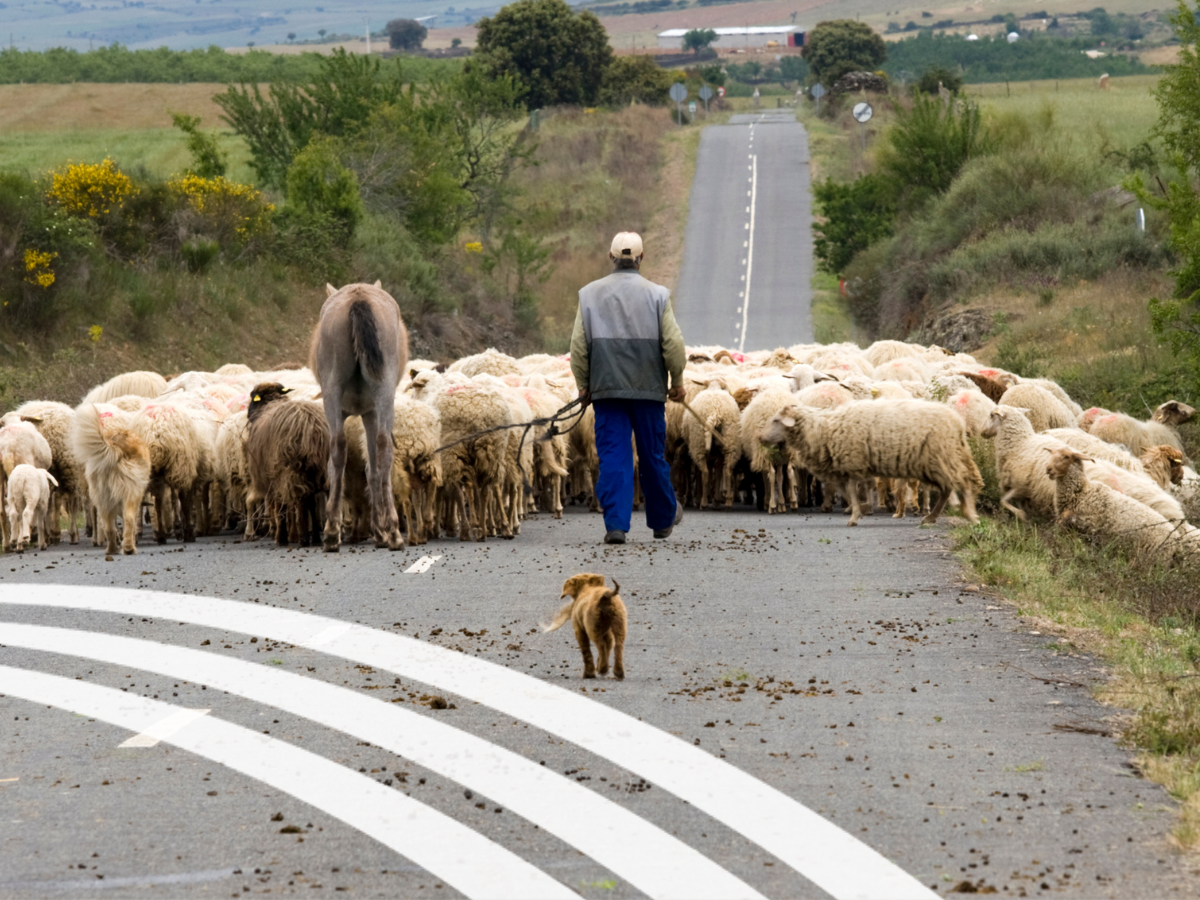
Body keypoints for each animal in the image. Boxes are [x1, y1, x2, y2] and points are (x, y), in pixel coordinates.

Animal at [71, 403, 151, 556]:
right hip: (131, 493)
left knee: (108, 526)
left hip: (101, 496)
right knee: (129, 519)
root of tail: (114, 445)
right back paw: (129, 548)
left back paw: (111, 549)